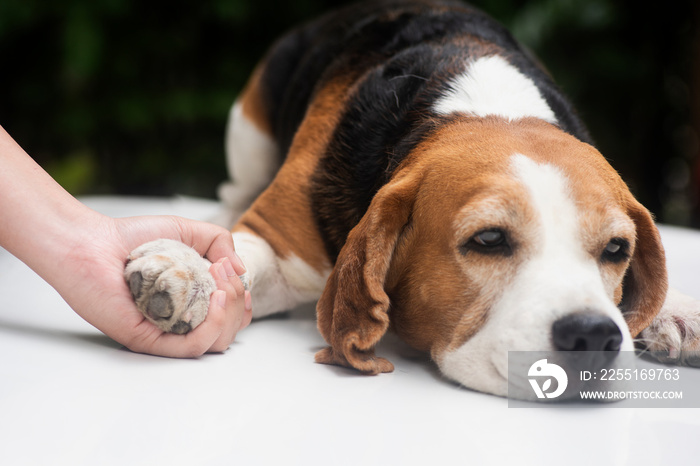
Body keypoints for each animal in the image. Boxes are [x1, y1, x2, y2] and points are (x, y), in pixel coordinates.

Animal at [124, 0, 700, 396]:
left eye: (617, 250)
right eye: (488, 240)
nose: (593, 337)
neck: (480, 105)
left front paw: (671, 309)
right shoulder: (280, 243)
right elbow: (238, 257)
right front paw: (187, 269)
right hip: (249, 126)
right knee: (234, 191)